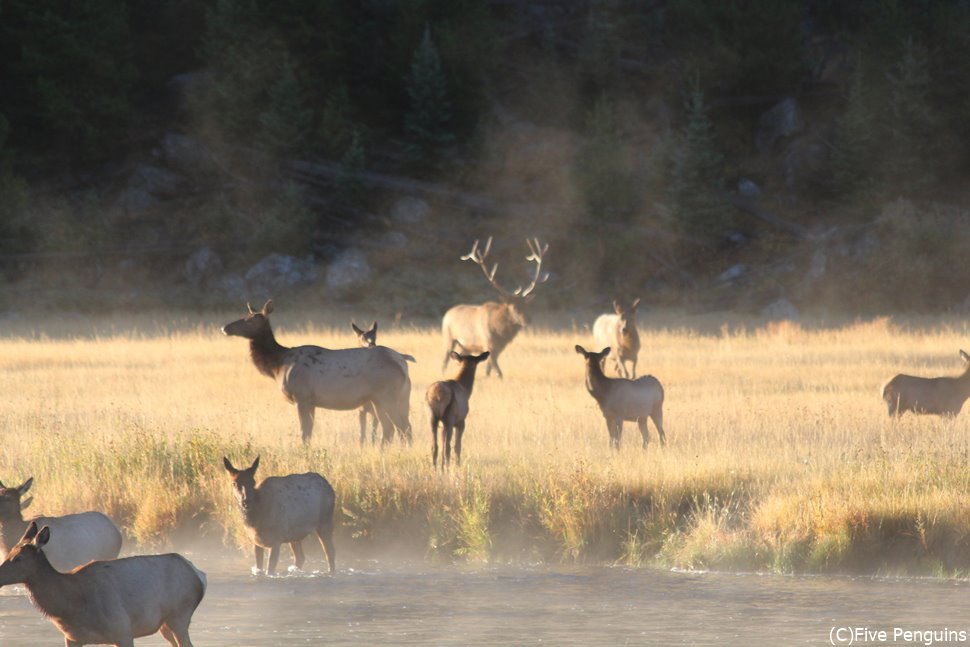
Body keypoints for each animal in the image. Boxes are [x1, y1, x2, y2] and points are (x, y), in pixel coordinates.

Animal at [0, 520, 206, 647]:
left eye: (18, 558)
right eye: (9, 553)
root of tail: (199, 575)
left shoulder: (122, 630)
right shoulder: (72, 637)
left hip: (179, 615)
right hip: (165, 624)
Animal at [221, 300, 410, 446]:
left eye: (251, 319)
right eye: (246, 315)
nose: (225, 327)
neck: (277, 365)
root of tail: (401, 363)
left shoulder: (302, 397)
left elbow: (304, 433)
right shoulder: (311, 402)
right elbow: (309, 433)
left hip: (386, 395)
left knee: (398, 427)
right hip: (391, 398)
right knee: (398, 427)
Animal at [354, 318, 418, 446]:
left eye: (375, 336)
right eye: (362, 337)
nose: (371, 344)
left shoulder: (374, 409)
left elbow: (373, 434)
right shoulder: (361, 409)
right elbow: (363, 435)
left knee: (399, 427)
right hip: (403, 401)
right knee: (405, 426)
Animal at [442, 238, 548, 380]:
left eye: (526, 305)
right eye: (513, 307)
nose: (527, 319)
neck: (500, 331)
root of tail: (447, 313)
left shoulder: (500, 346)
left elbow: (490, 367)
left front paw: (487, 376)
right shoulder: (488, 342)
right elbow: (496, 368)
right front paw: (496, 377)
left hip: (466, 345)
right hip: (449, 337)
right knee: (445, 359)